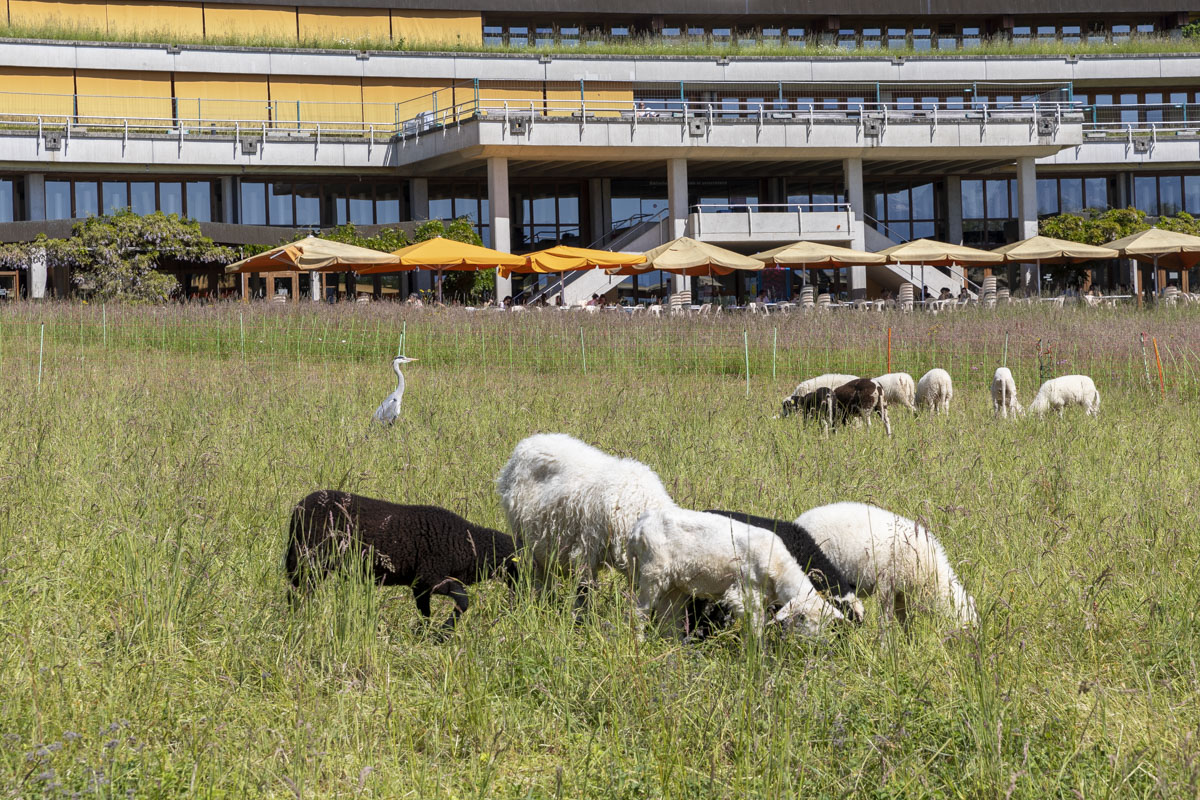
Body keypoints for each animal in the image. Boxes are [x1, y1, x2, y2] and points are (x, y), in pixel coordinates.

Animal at [285, 490, 517, 631]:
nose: (518, 605)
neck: (469, 544)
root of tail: (298, 508)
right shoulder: (432, 577)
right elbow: (463, 599)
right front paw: (444, 633)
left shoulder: (420, 586)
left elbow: (425, 612)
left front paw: (425, 635)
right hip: (309, 560)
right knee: (298, 592)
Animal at [629, 507, 845, 637]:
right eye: (802, 618)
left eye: (826, 623)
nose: (814, 646)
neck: (779, 566)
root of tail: (640, 524)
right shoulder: (745, 594)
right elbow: (756, 629)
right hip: (652, 573)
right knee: (639, 613)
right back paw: (639, 640)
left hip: (674, 584)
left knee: (668, 617)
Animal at [792, 502, 977, 627]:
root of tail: (800, 520)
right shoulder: (887, 586)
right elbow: (885, 622)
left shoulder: (902, 593)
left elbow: (905, 621)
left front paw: (909, 643)